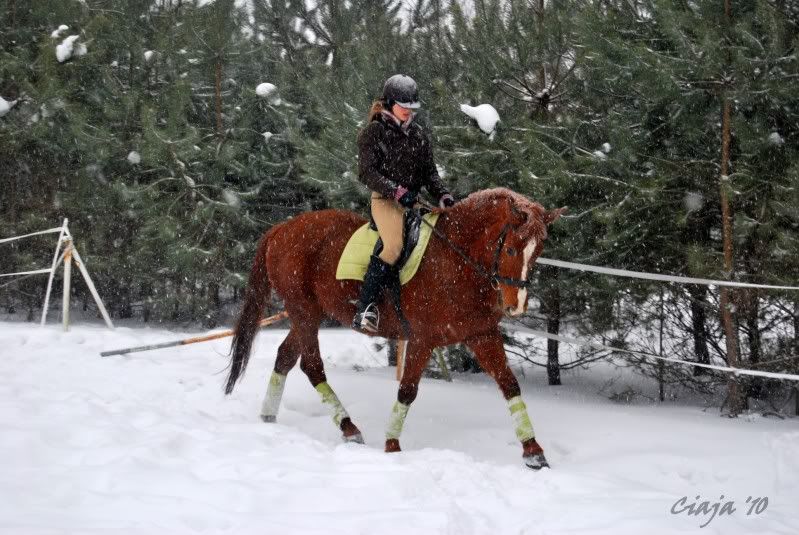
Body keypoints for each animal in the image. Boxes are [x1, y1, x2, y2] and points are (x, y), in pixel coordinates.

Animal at [224, 187, 565, 470]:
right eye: (511, 250)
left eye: (536, 253)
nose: (515, 306)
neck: (456, 262)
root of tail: (282, 228)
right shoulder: (422, 339)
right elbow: (407, 390)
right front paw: (391, 447)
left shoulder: (481, 335)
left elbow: (509, 385)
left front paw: (534, 453)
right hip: (304, 312)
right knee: (312, 366)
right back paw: (349, 428)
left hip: (308, 313)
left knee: (285, 356)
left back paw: (269, 416)